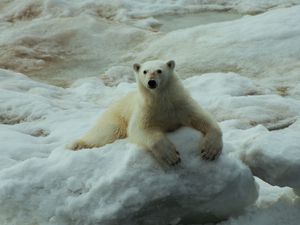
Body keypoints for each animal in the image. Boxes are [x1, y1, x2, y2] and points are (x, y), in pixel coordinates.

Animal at [69, 59, 221, 165]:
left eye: (159, 70)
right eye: (145, 71)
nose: (151, 82)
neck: (161, 101)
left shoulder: (181, 105)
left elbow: (203, 119)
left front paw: (209, 151)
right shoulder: (146, 110)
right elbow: (141, 129)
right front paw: (172, 156)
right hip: (116, 117)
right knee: (105, 132)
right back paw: (77, 144)